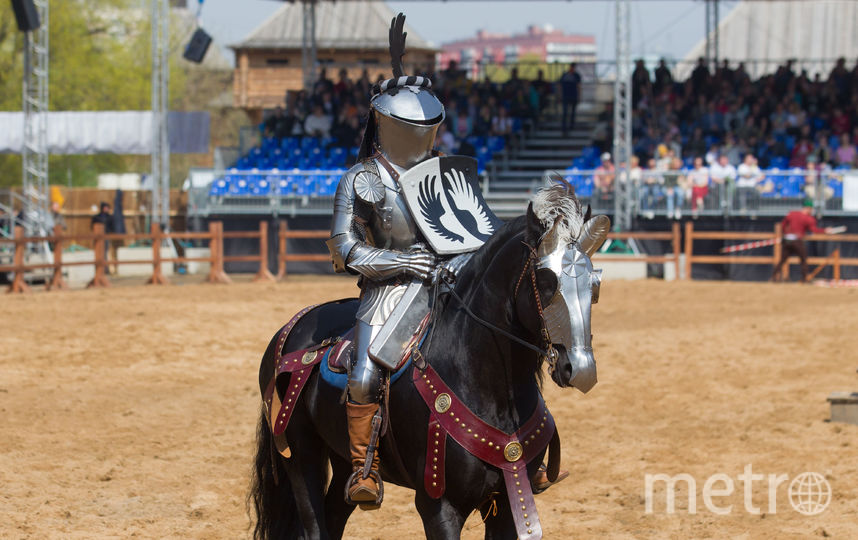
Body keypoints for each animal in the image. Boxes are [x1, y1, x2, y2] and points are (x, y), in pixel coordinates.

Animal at [247, 188, 600, 536]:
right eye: (546, 280)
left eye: (593, 284)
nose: (580, 368)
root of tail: (291, 327)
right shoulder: (439, 506)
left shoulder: (509, 502)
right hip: (300, 457)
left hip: (343, 460)